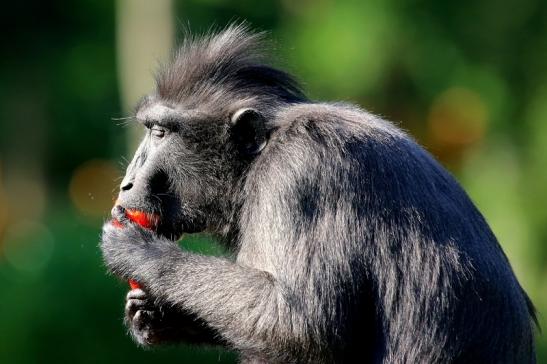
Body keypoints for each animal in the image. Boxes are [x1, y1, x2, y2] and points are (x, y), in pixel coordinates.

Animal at [100, 24, 536, 362]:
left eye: (160, 132)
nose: (127, 182)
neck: (260, 153)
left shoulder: (298, 173)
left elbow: (301, 328)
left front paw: (144, 255)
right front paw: (157, 312)